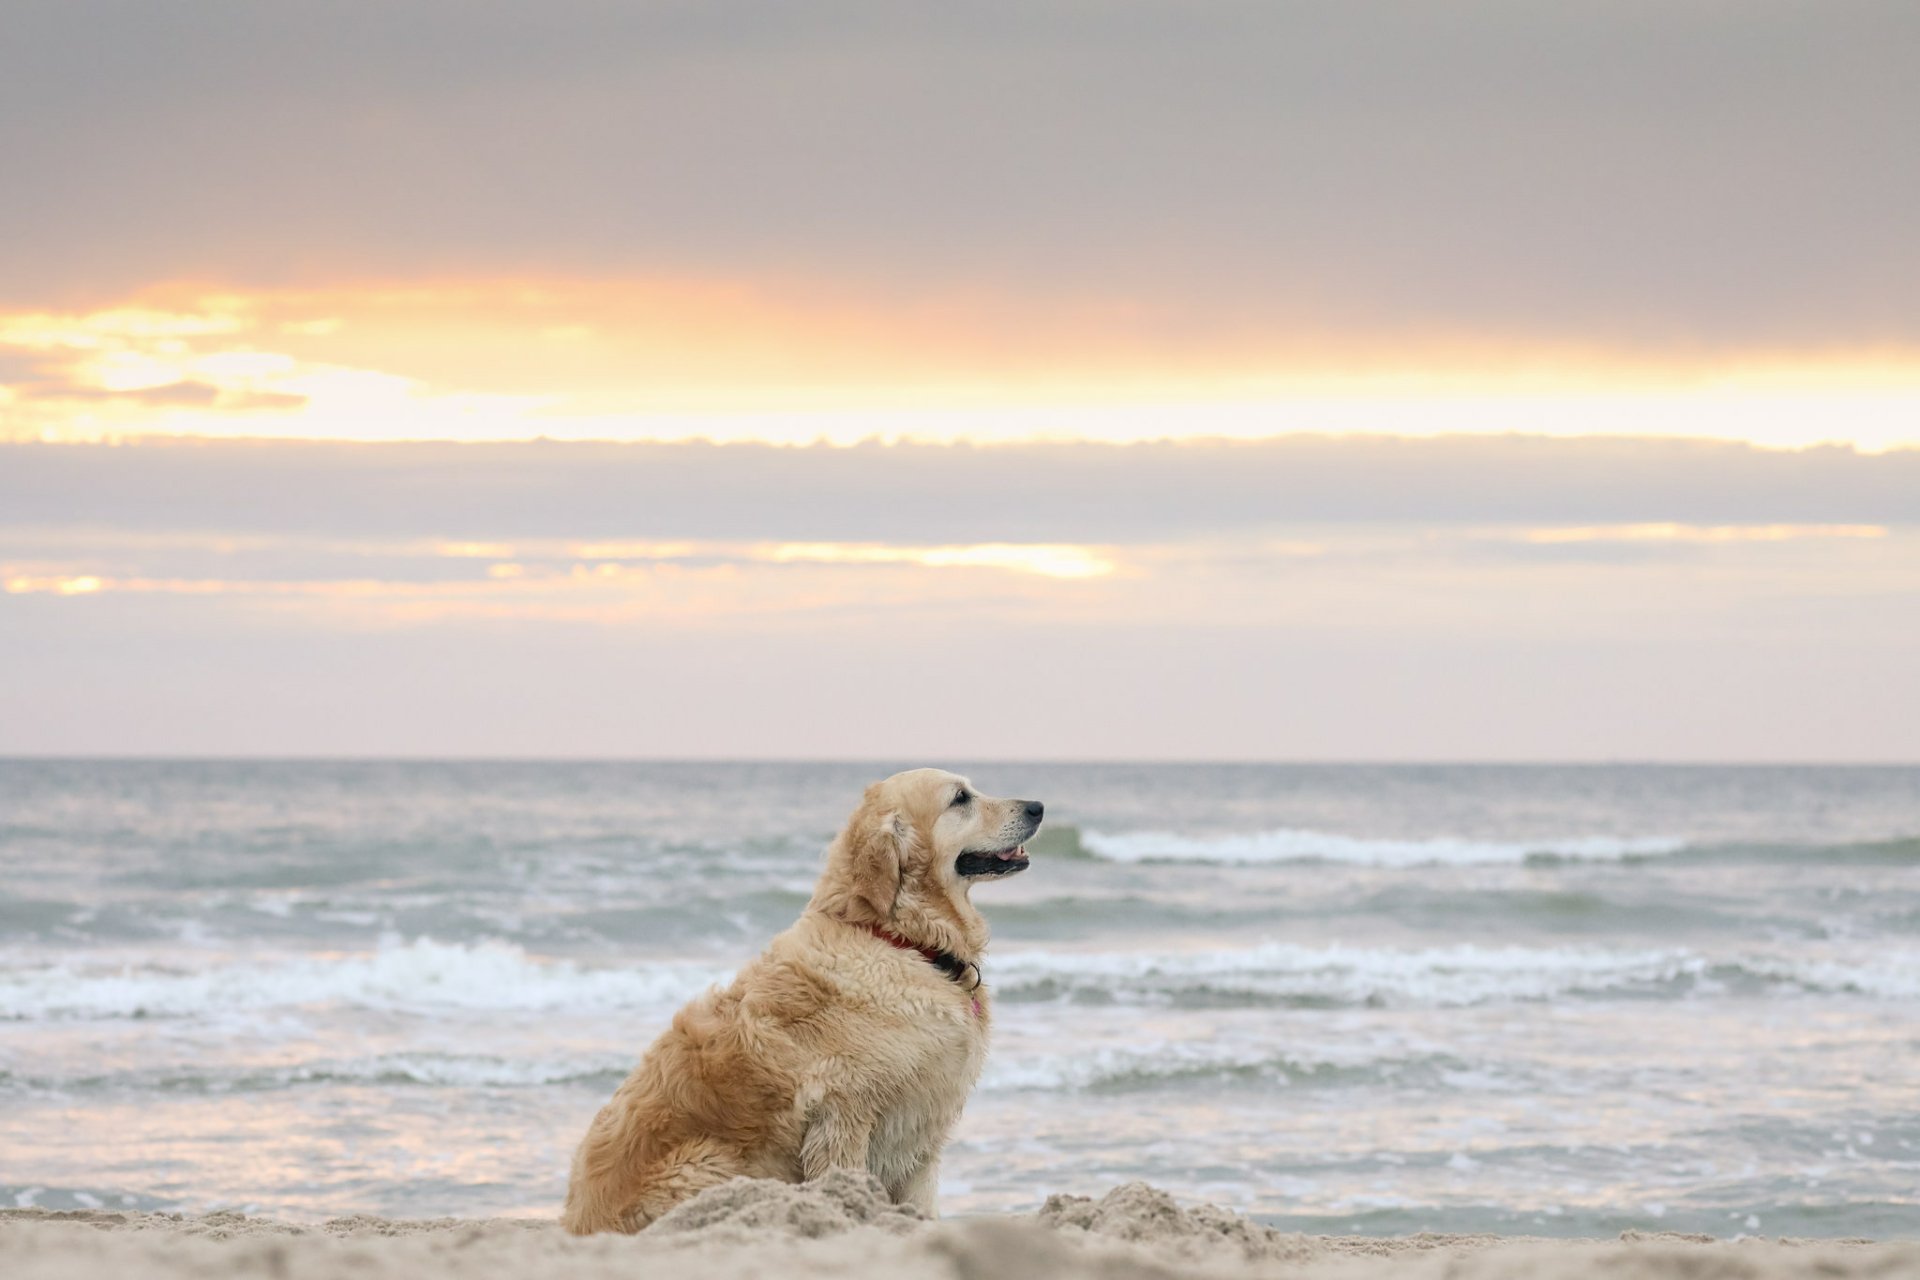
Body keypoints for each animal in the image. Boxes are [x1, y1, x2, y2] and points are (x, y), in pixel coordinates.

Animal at [560, 767, 1044, 1235]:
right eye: (960, 798)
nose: (1038, 806)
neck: (895, 937)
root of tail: (576, 1223)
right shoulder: (844, 1114)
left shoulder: (923, 1130)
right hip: (709, 1161)